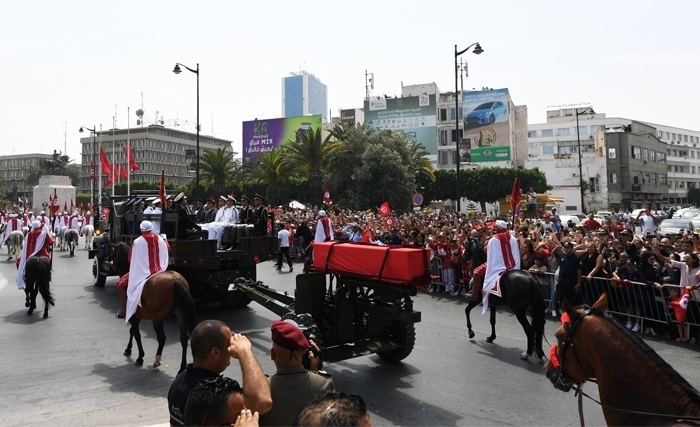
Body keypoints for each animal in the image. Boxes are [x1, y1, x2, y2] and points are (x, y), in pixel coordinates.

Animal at [114, 242, 197, 372]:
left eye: (114, 252)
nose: (114, 266)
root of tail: (174, 278)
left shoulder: (132, 315)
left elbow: (136, 334)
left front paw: (140, 357)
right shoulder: (137, 315)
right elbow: (132, 331)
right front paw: (128, 349)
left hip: (157, 318)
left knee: (162, 338)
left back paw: (157, 360)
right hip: (181, 315)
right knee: (184, 339)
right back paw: (182, 367)